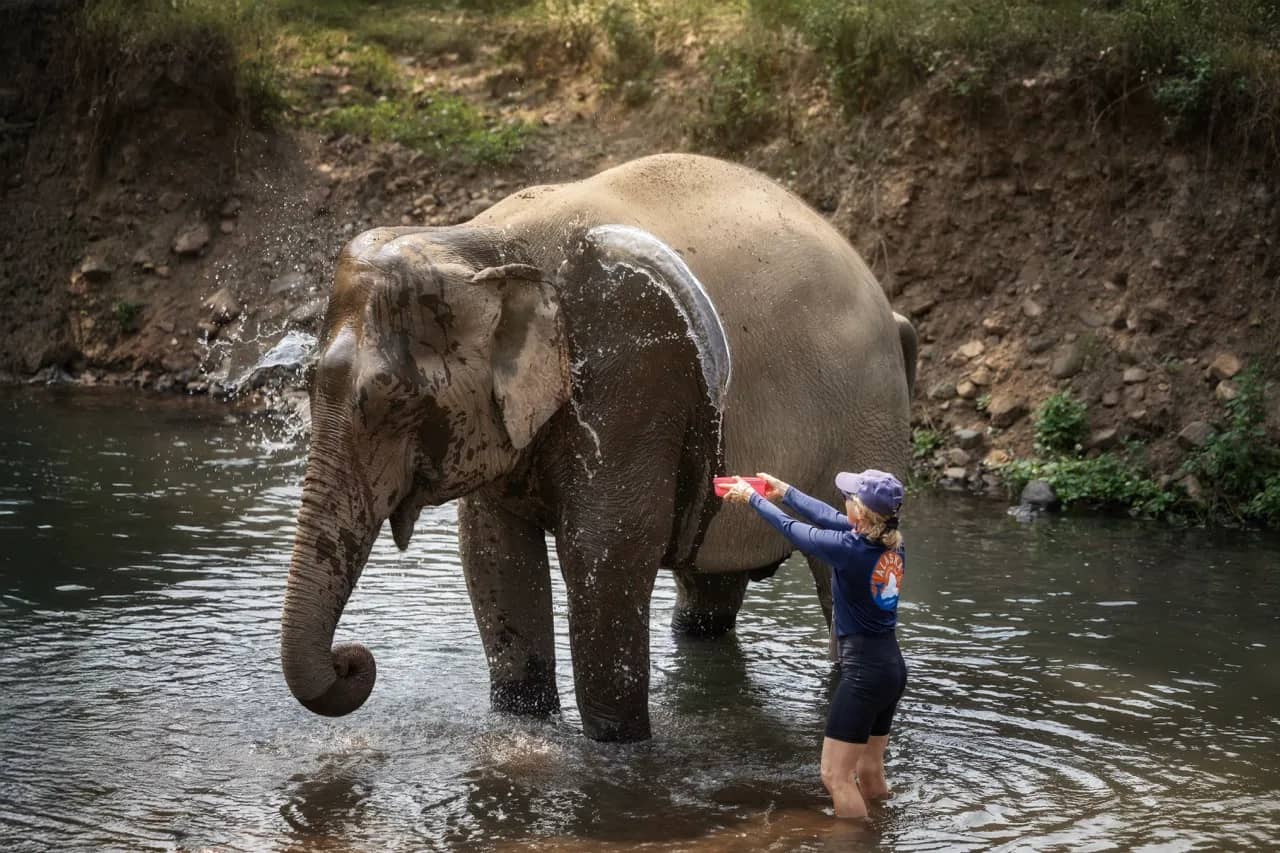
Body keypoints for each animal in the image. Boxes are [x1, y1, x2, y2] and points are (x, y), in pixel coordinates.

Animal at [280, 153, 917, 742]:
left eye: (390, 400)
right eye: (306, 384)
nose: (353, 660)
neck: (478, 243)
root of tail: (893, 312)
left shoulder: (632, 373)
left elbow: (606, 548)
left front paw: (617, 747)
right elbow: (492, 551)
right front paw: (524, 726)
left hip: (867, 419)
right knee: (708, 587)